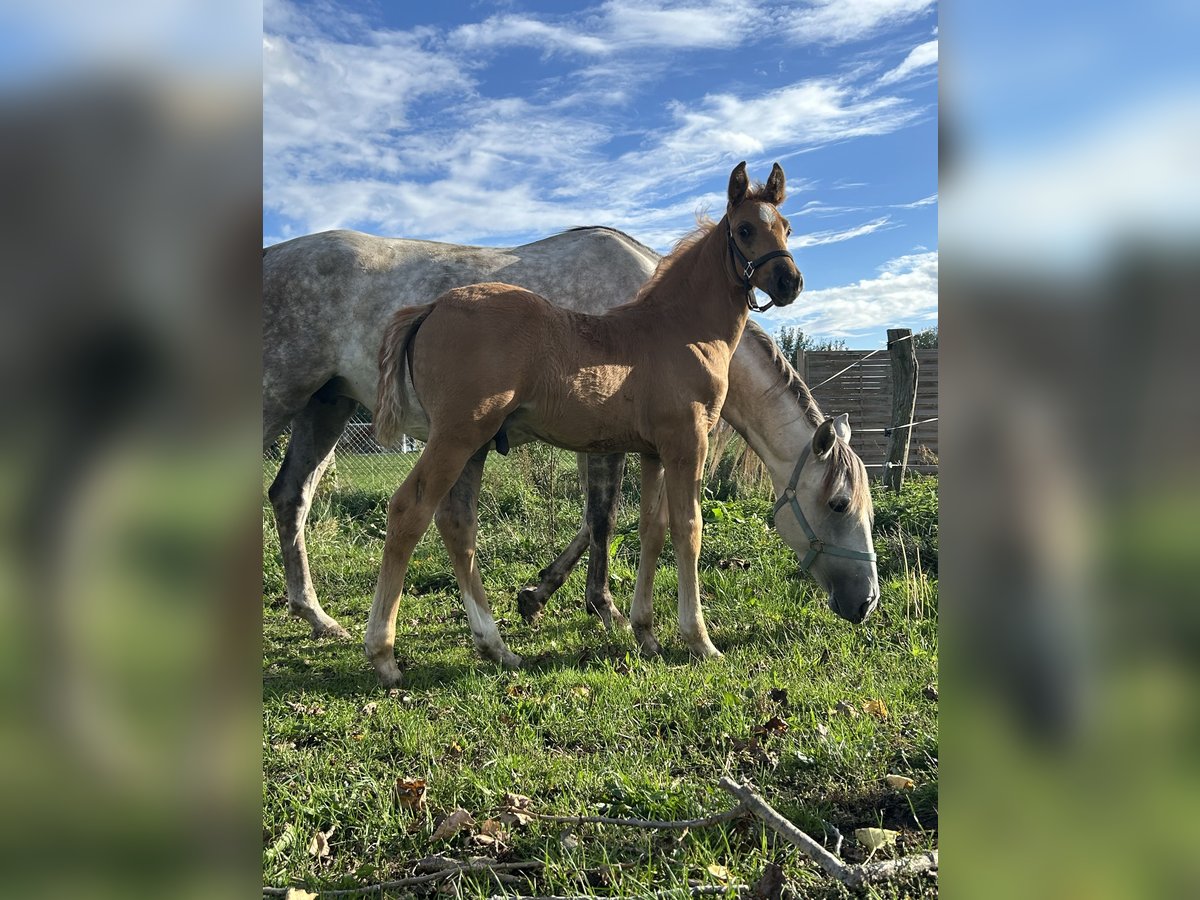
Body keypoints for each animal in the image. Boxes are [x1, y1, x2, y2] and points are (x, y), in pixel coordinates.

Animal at [364, 162, 796, 681]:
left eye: (787, 228)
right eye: (745, 229)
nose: (791, 281)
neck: (680, 331)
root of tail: (431, 307)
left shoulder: (653, 452)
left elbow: (651, 530)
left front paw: (646, 633)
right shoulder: (687, 444)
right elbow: (687, 530)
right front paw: (699, 640)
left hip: (475, 445)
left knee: (457, 524)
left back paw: (497, 646)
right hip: (455, 436)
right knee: (409, 511)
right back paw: (383, 655)